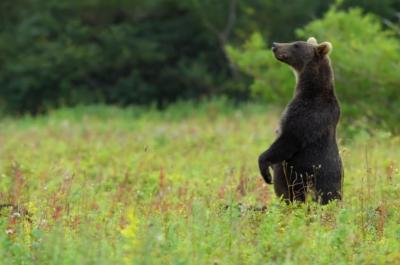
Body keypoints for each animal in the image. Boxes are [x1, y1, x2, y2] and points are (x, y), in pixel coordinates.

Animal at [260, 36, 344, 203]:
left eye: (296, 45)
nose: (275, 45)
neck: (310, 89)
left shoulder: (308, 114)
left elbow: (289, 139)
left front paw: (266, 171)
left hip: (322, 180)